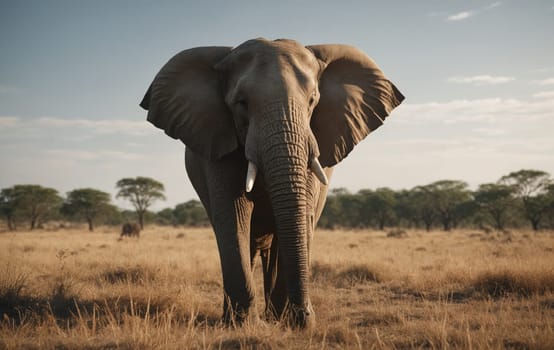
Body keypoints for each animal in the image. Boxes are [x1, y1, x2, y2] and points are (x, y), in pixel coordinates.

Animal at [140, 37, 404, 326]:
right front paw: (243, 324)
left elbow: (300, 214)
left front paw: (288, 321)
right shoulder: (217, 142)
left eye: (312, 100)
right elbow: (233, 216)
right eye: (242, 103)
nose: (306, 316)